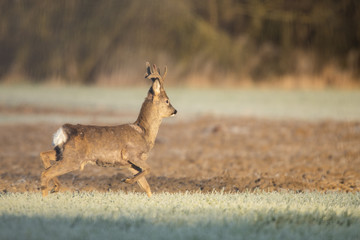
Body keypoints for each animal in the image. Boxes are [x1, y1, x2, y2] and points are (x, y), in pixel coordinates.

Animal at [39, 62, 177, 197]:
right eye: (167, 101)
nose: (175, 111)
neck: (144, 133)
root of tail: (62, 131)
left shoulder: (130, 163)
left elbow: (146, 186)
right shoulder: (131, 154)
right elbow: (148, 169)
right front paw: (127, 180)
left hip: (62, 153)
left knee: (44, 156)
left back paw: (56, 187)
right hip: (72, 158)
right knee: (46, 173)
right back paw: (47, 196)